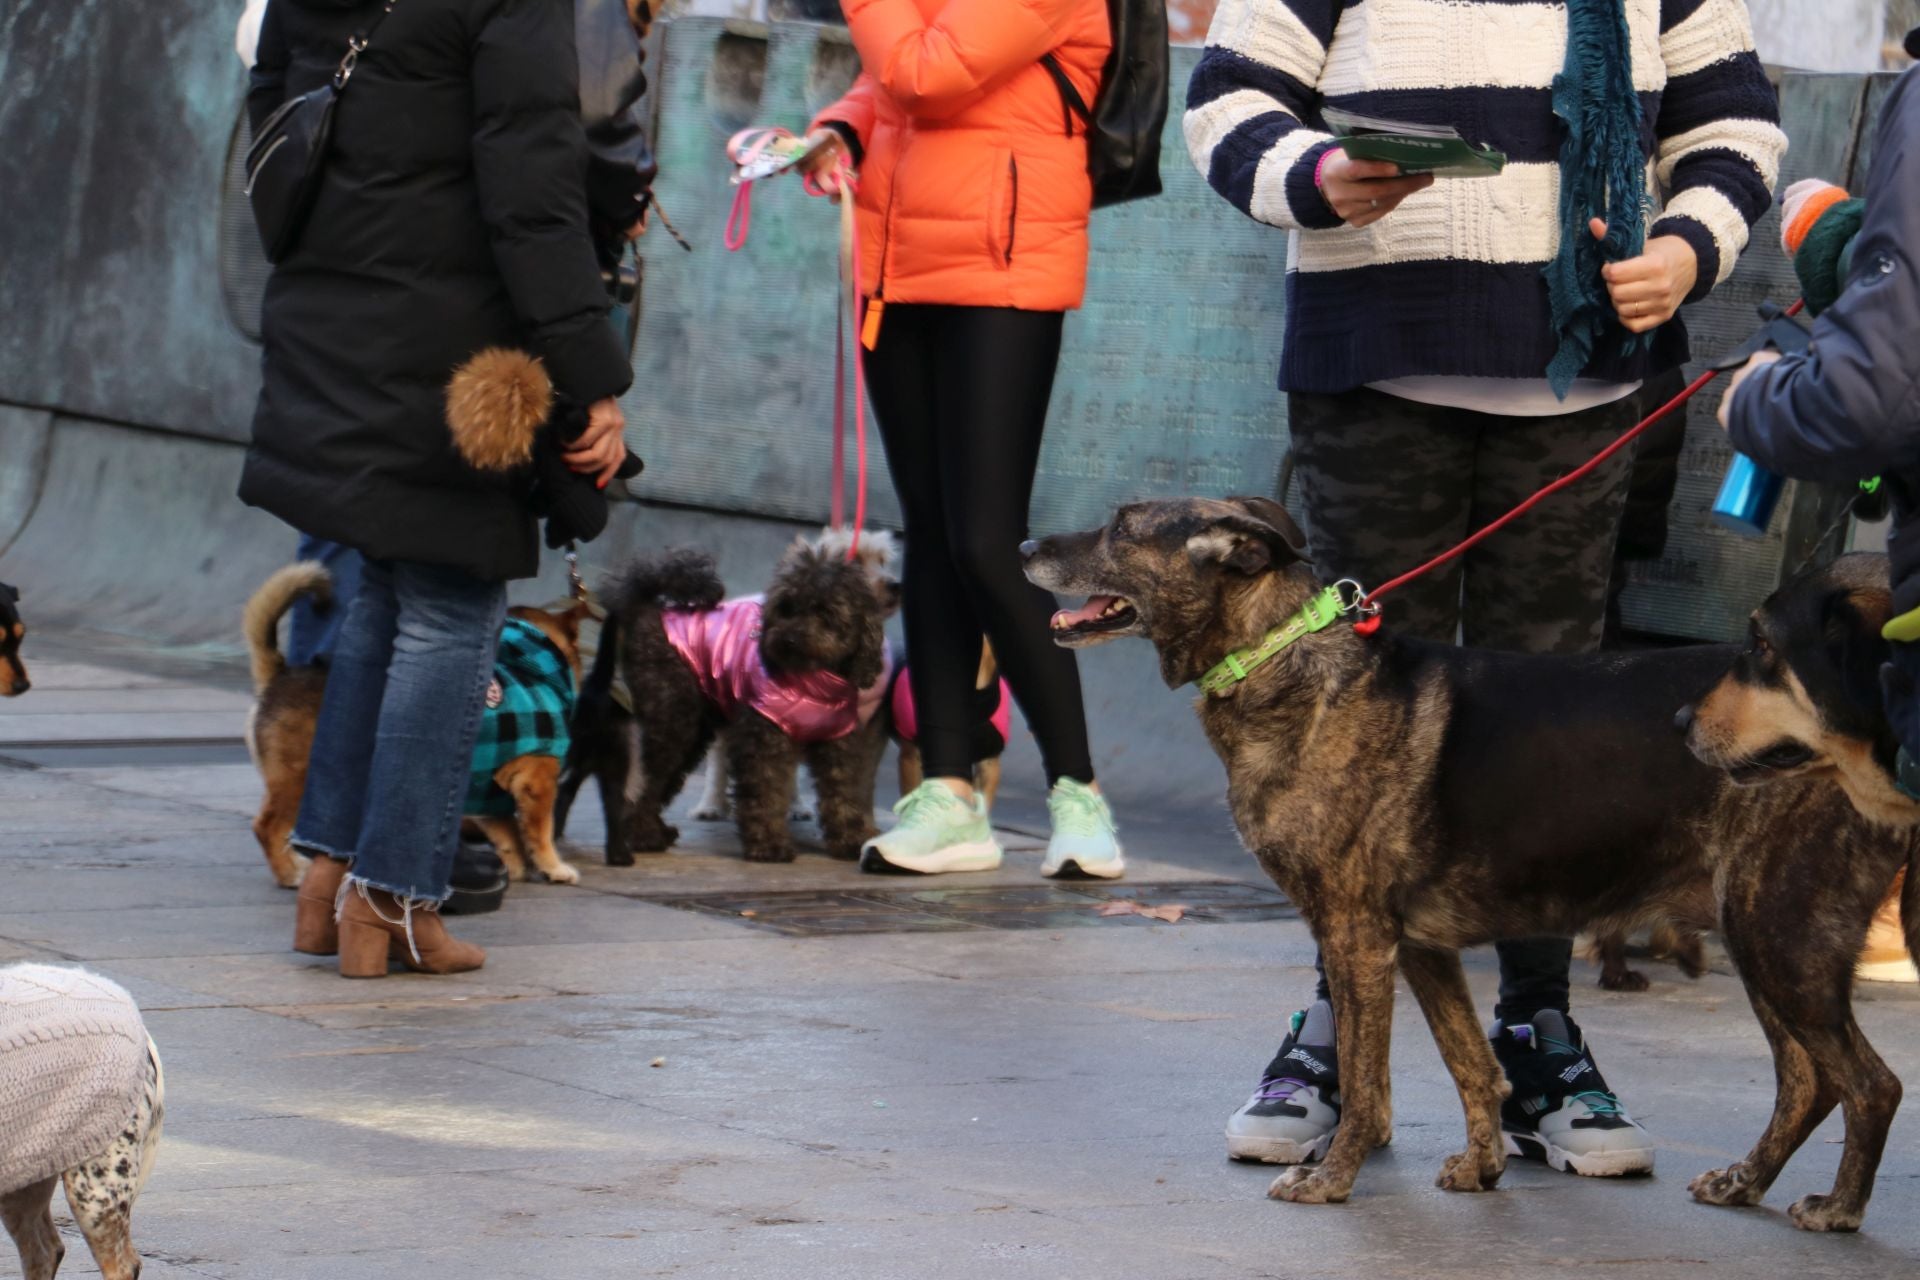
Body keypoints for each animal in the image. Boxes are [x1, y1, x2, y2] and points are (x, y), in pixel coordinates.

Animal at [1021, 498, 1920, 1228]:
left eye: (1121, 527)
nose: (1027, 543)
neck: (1279, 656)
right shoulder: (1421, 947)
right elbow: (1471, 1064)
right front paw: (1484, 1167)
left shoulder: (1356, 938)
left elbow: (1368, 1081)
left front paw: (1333, 1181)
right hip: (1766, 937)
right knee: (1809, 1082)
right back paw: (1745, 1182)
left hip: (1779, 935)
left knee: (1870, 1083)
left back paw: (1839, 1209)